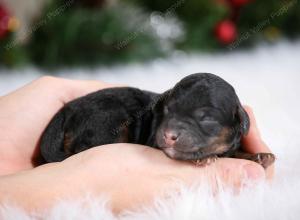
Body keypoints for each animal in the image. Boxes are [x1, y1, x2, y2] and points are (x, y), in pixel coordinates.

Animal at [41, 73, 276, 168]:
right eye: (168, 110)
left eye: (207, 119)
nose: (169, 134)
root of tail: (68, 109)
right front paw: (204, 159)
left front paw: (259, 156)